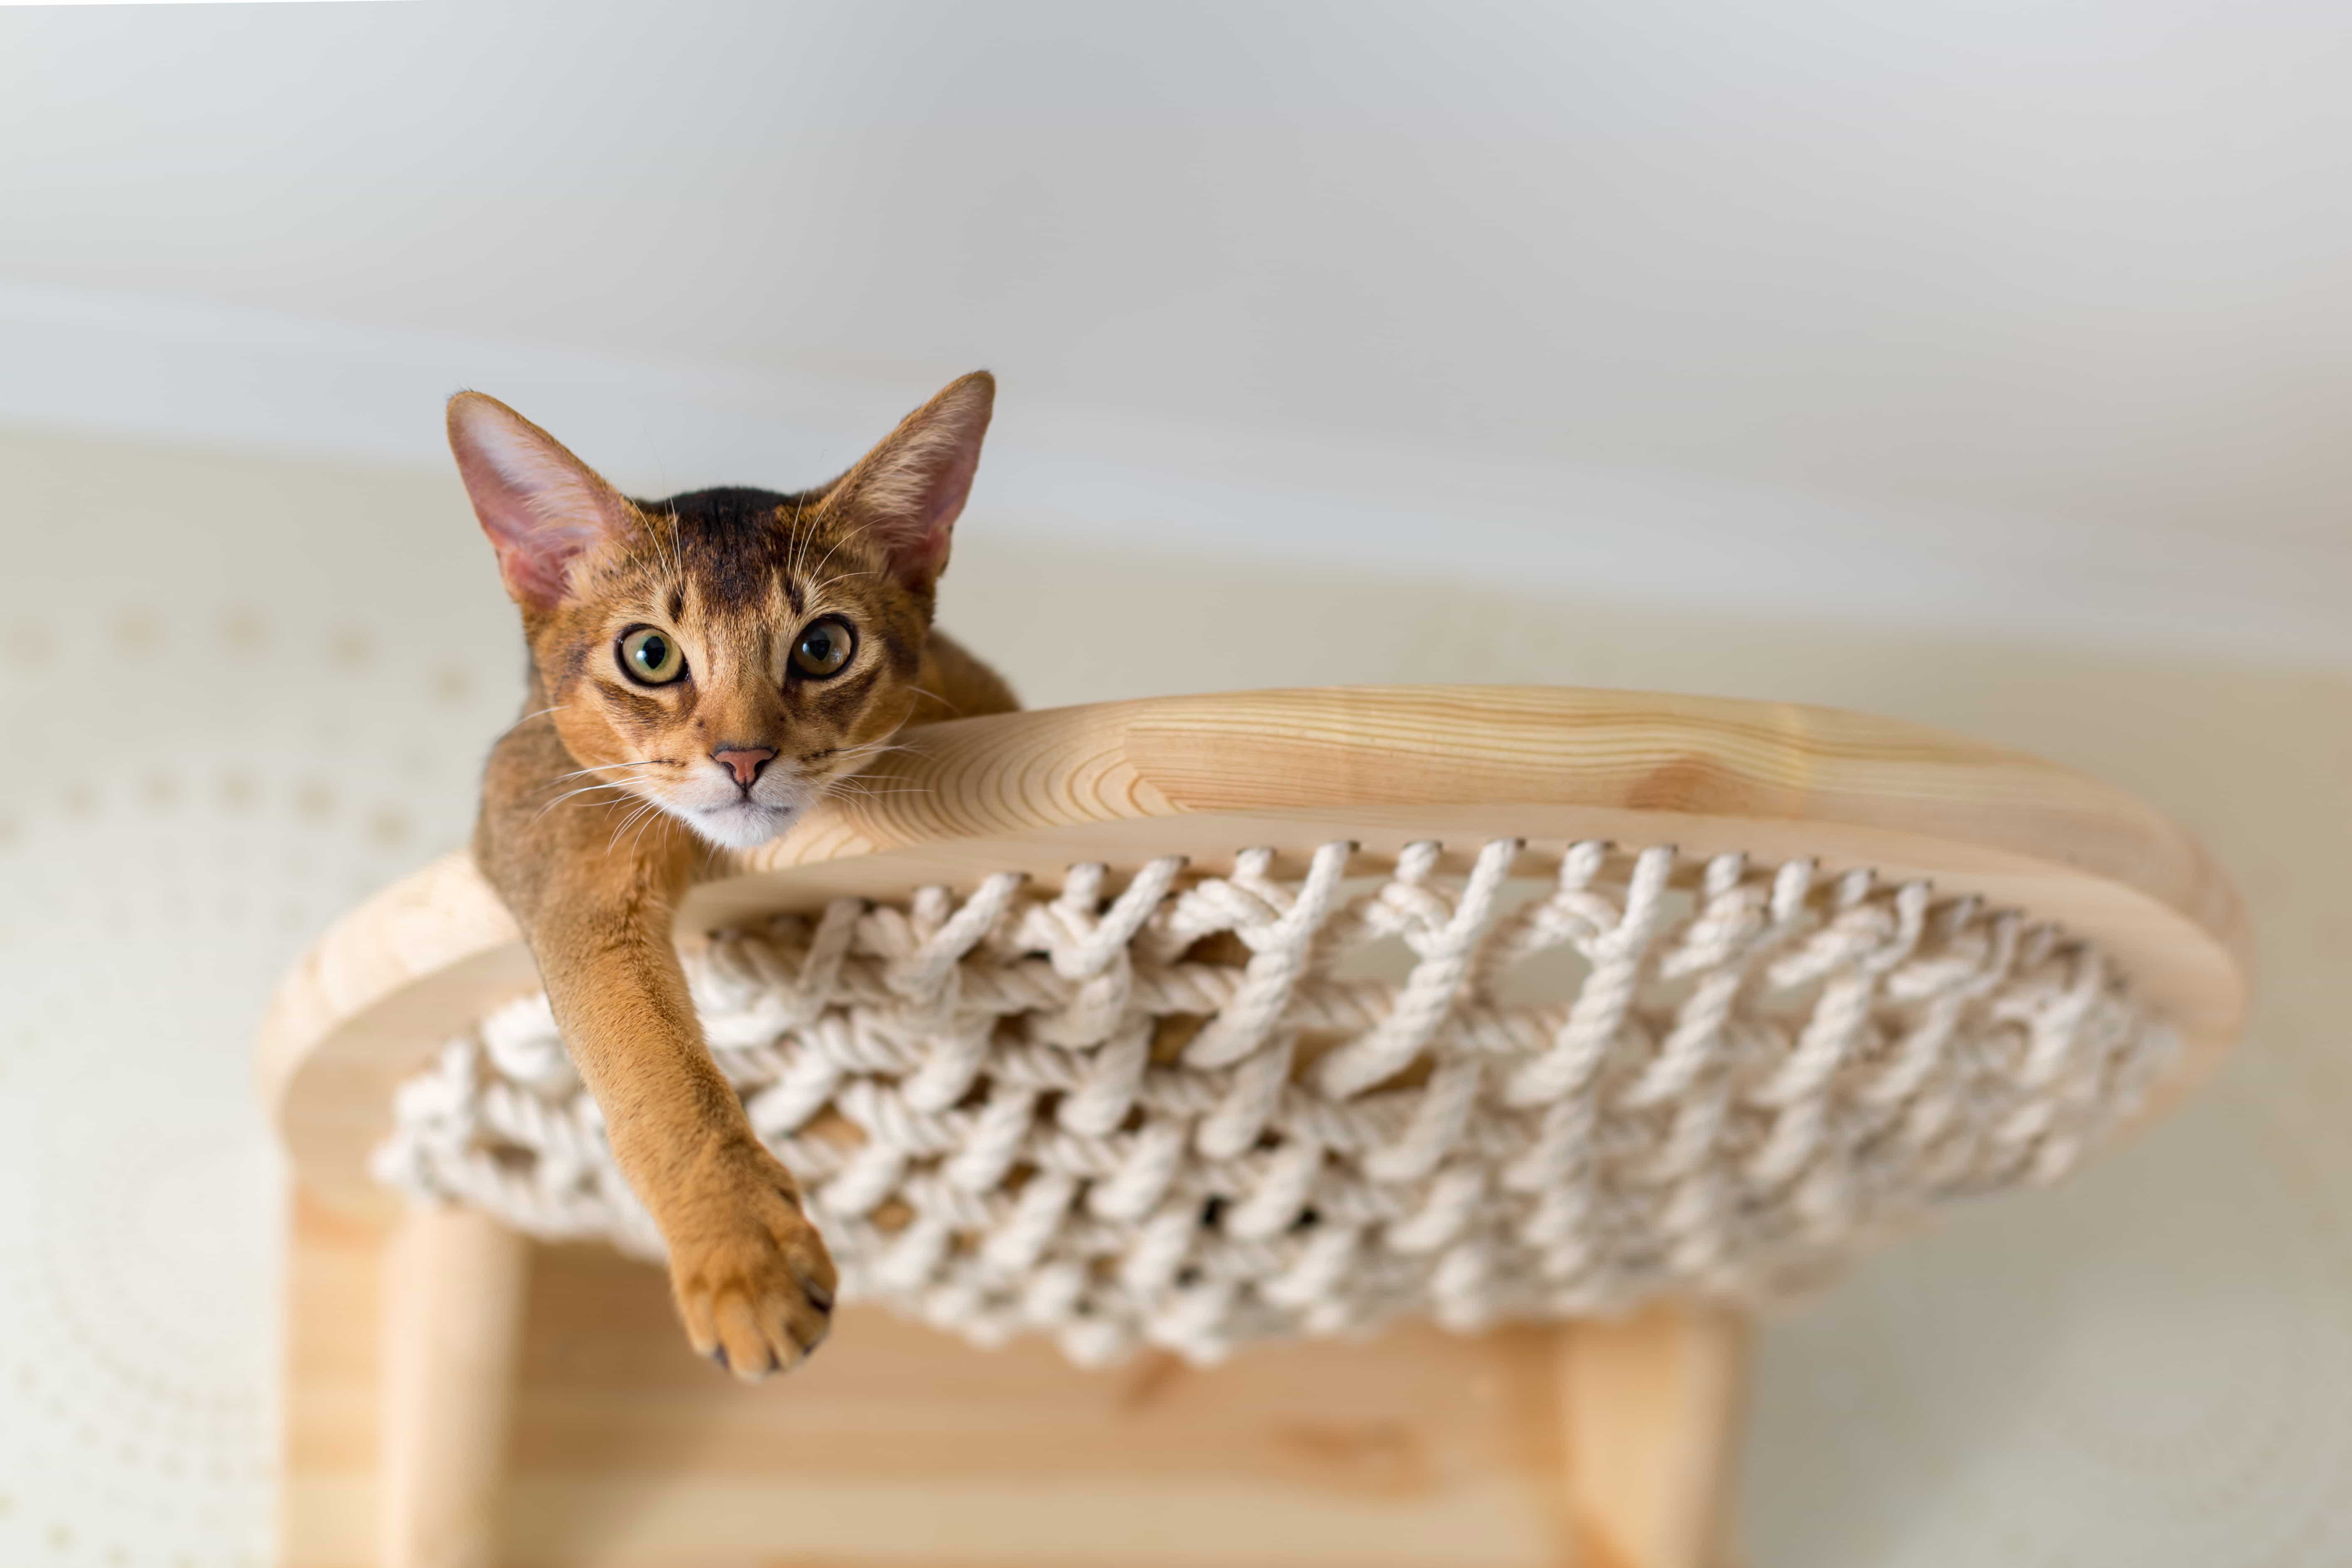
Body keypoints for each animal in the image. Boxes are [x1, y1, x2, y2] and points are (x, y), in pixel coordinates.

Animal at [449, 373, 1020, 1382]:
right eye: (650, 655)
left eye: (823, 646)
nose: (744, 758)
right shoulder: (559, 842)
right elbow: (651, 1072)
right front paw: (743, 1265)